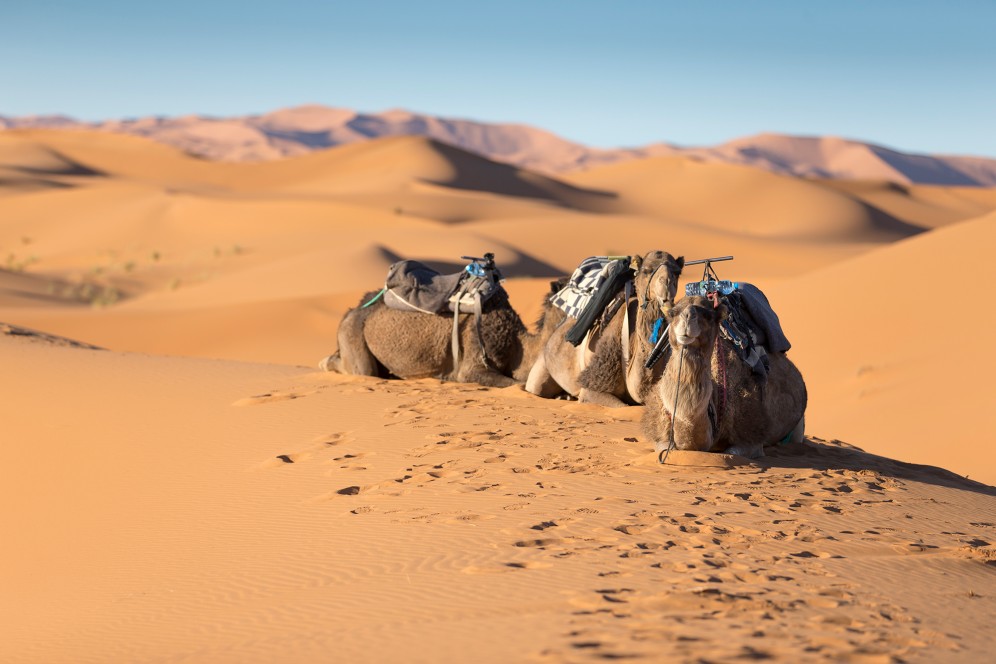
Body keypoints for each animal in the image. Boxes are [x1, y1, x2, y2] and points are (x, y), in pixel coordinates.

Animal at [320, 286, 560, 390]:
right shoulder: (474, 358)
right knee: (361, 369)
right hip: (353, 332)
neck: (518, 346)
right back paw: (324, 363)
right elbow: (517, 384)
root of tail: (351, 310)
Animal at [528, 249, 684, 404]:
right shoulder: (592, 387)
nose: (667, 284)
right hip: (541, 369)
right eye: (646, 271)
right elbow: (621, 405)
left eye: (677, 273)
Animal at [640, 296, 804, 460]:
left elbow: (731, 452)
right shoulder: (659, 432)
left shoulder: (753, 436)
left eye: (708, 315)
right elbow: (667, 447)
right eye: (672, 313)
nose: (687, 316)